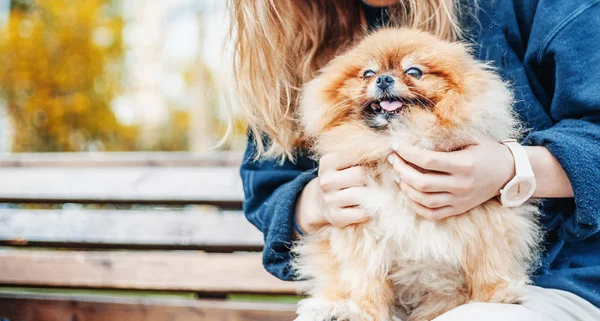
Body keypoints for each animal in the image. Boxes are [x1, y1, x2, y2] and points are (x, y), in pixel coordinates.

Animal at [292, 28, 540, 320]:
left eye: (413, 71)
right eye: (368, 73)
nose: (384, 78)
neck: (395, 139)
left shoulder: (485, 219)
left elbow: (488, 263)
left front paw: (497, 295)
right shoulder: (362, 231)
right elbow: (365, 281)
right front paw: (363, 312)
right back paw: (330, 306)